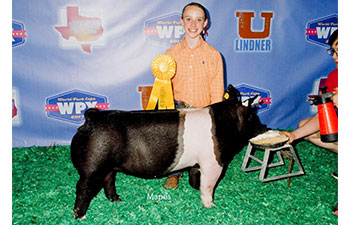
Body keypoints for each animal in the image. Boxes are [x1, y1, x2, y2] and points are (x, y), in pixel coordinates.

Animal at [71, 84, 268, 218]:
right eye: (253, 117)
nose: (265, 126)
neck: (224, 125)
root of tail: (92, 117)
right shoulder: (214, 163)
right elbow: (208, 186)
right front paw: (211, 206)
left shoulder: (198, 163)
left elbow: (195, 177)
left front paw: (195, 187)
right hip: (93, 165)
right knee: (83, 187)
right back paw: (80, 216)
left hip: (108, 166)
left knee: (108, 180)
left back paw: (117, 200)